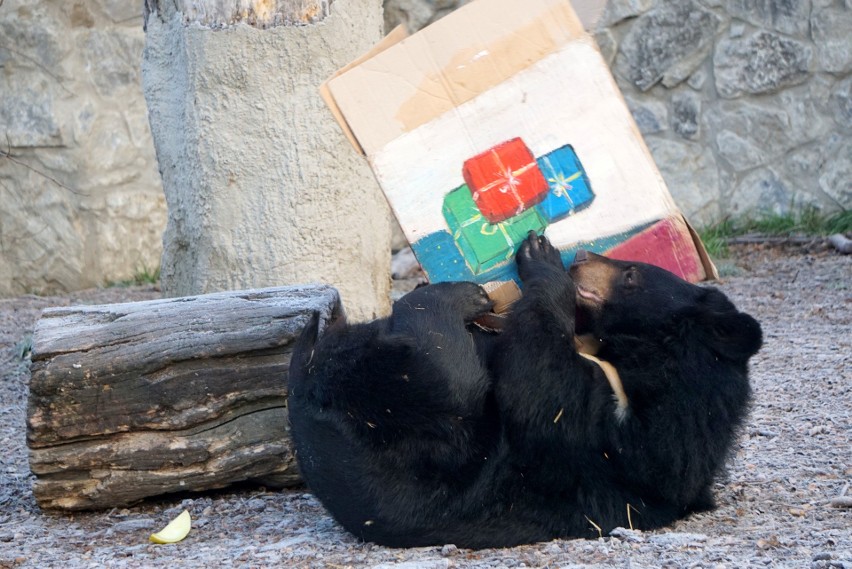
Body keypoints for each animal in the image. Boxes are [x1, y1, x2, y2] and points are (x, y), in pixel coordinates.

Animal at [290, 231, 764, 544]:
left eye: (630, 274)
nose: (581, 254)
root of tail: (306, 395)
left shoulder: (619, 444)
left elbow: (540, 388)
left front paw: (541, 256)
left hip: (411, 406)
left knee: (440, 358)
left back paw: (456, 295)